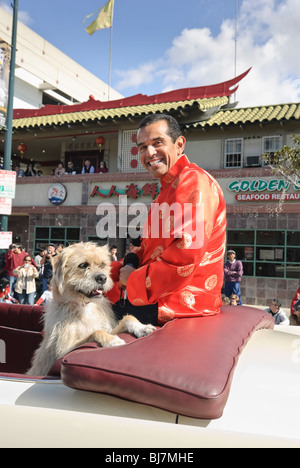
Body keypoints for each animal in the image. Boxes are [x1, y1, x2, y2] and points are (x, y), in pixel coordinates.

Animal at [27, 243, 157, 374]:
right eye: (83, 265)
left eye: (102, 265)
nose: (103, 278)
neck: (85, 306)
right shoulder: (64, 350)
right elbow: (96, 332)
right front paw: (111, 340)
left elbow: (128, 318)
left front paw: (142, 327)